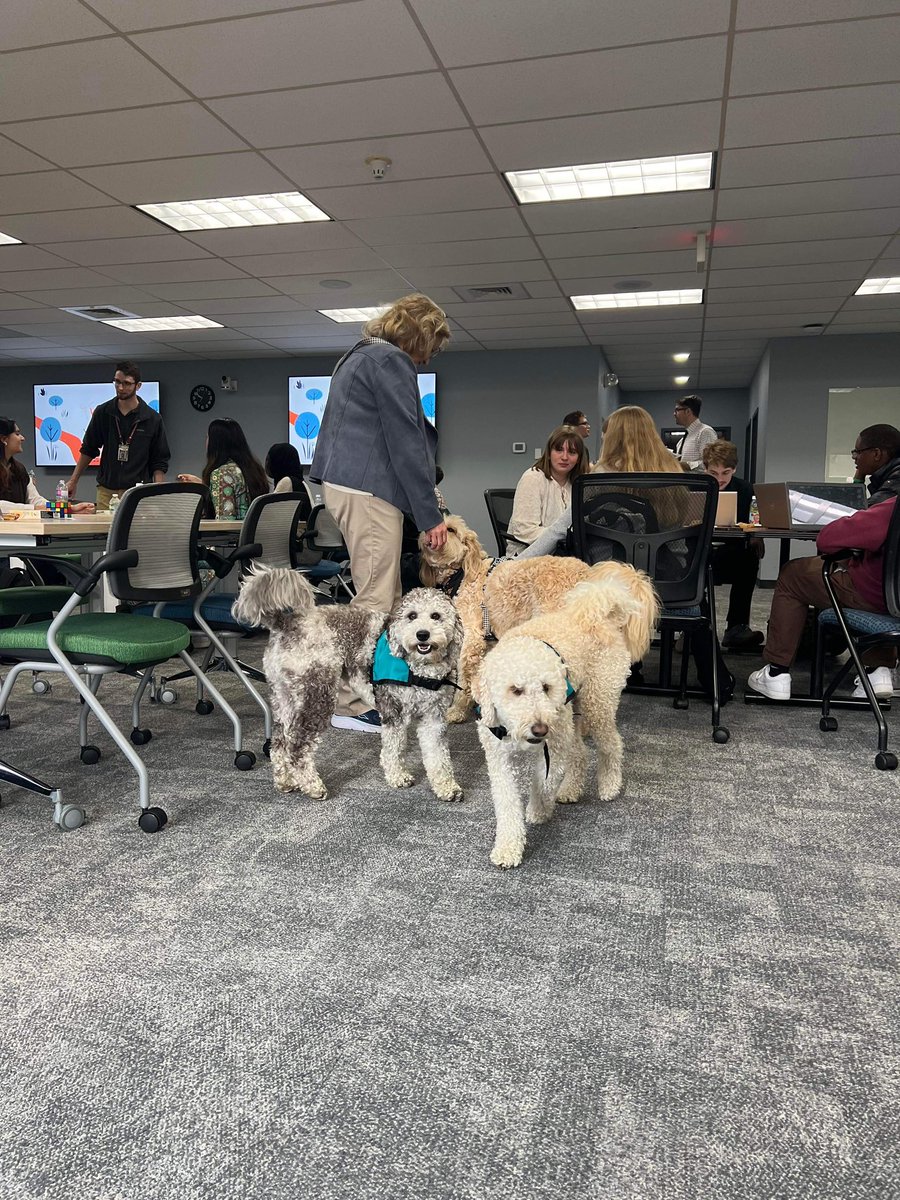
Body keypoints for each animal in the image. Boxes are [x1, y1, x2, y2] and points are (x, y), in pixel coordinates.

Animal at [230, 566, 381, 801]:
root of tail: (287, 624)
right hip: (317, 695)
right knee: (298, 748)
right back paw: (313, 786)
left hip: (285, 697)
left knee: (279, 745)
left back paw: (285, 782)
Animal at [374, 585, 465, 801]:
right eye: (412, 615)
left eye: (436, 616)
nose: (422, 634)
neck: (420, 673)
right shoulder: (394, 713)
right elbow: (393, 748)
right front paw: (397, 776)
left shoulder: (434, 717)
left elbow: (438, 756)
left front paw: (446, 786)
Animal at [475, 556, 657, 868]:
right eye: (515, 690)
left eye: (547, 687)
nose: (540, 728)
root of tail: (597, 616)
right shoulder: (499, 760)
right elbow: (507, 803)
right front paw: (508, 848)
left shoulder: (556, 745)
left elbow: (543, 782)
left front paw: (538, 810)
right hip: (577, 711)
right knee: (582, 753)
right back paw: (571, 790)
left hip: (597, 702)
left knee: (611, 745)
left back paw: (610, 785)